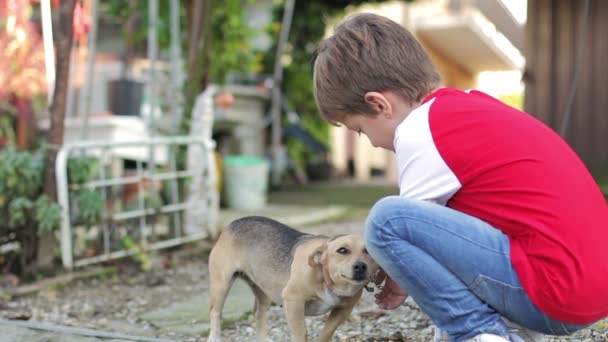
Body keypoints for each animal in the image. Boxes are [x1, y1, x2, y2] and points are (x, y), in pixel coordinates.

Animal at [209, 216, 380, 342]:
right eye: (342, 250)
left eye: (368, 251)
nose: (361, 266)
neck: (325, 278)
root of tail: (232, 223)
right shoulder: (293, 301)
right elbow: (301, 333)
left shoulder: (343, 310)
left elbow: (326, 333)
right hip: (221, 285)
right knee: (216, 313)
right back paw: (215, 337)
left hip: (264, 292)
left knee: (260, 314)